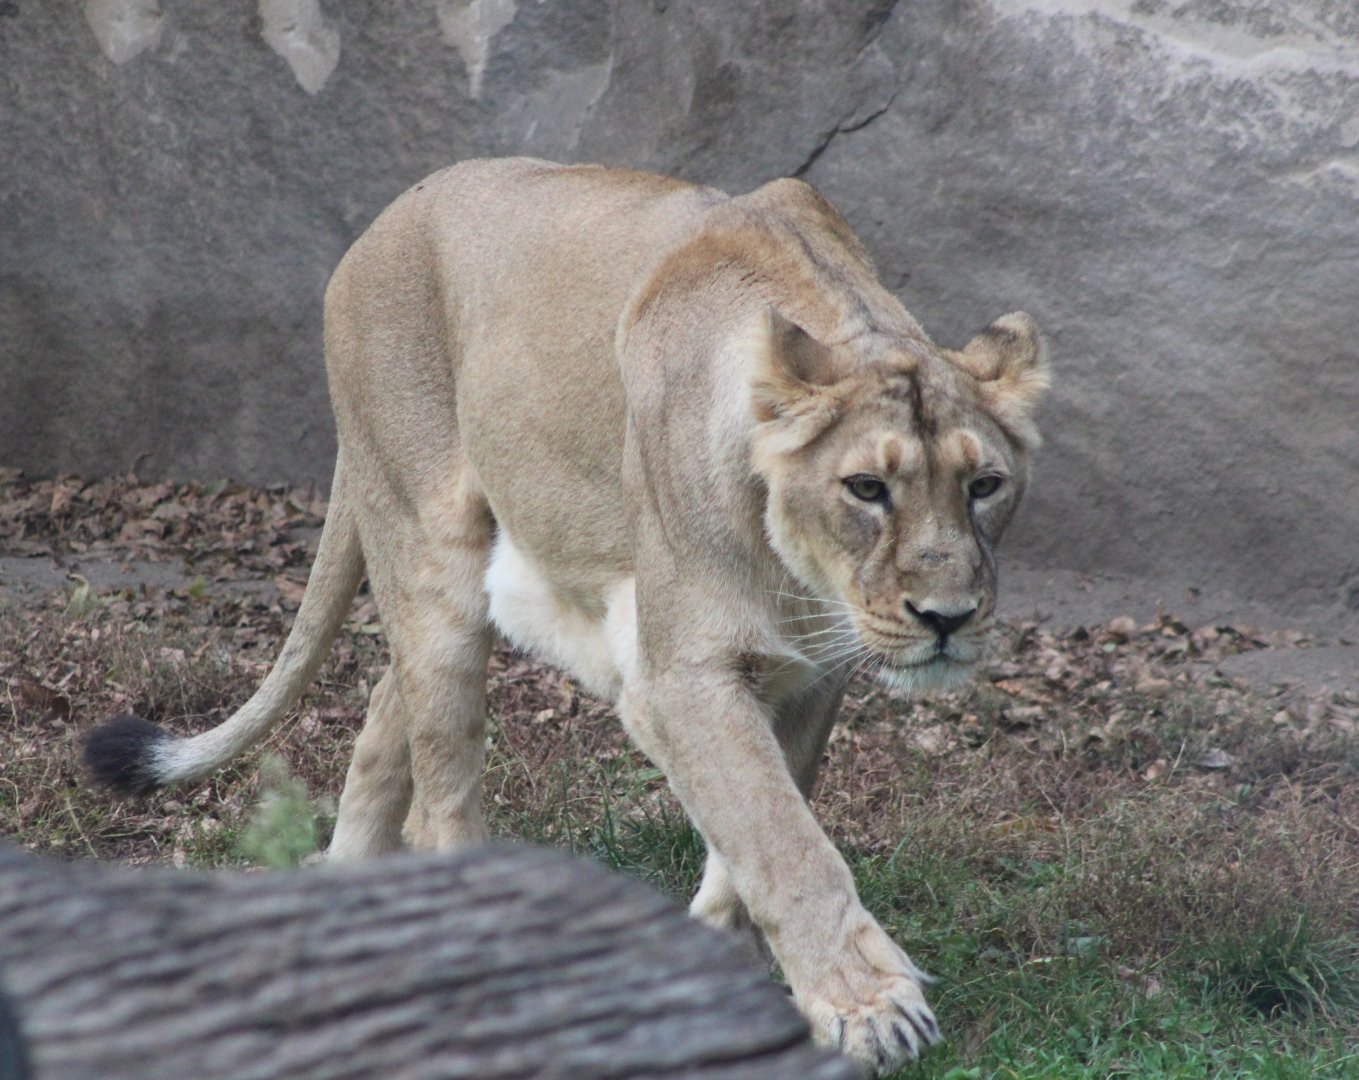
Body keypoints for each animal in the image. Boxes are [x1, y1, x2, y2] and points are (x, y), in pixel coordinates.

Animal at [84, 157, 1048, 1075]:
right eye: (866, 488)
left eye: (984, 485)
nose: (947, 616)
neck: (803, 575)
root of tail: (381, 223)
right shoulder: (676, 676)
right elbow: (784, 842)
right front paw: (872, 1011)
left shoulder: (811, 673)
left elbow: (761, 828)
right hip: (431, 554)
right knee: (440, 796)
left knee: (386, 709)